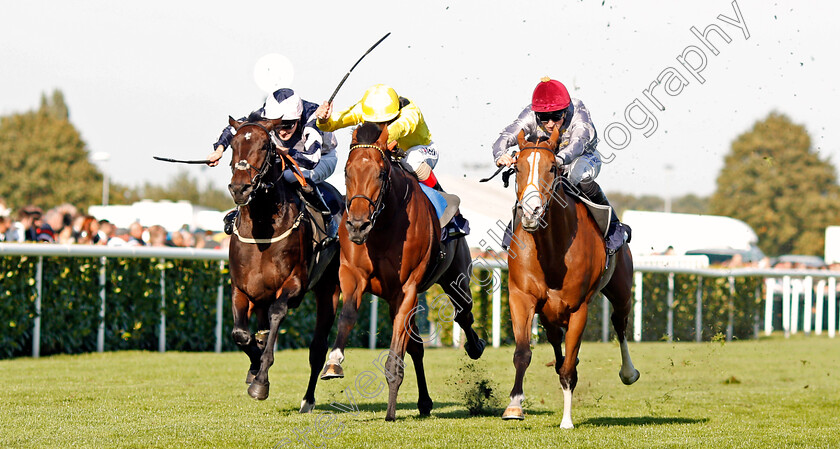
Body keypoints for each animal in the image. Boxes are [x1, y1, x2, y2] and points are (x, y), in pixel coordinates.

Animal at [226, 114, 342, 410]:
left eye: (264, 146)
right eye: (233, 145)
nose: (240, 188)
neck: (262, 229)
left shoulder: (294, 284)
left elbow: (277, 314)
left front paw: (260, 381)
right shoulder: (241, 288)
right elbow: (240, 334)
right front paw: (254, 366)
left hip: (329, 288)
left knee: (318, 348)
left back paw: (308, 400)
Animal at [320, 121, 486, 420]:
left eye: (381, 173)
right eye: (347, 171)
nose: (357, 226)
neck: (383, 227)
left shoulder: (407, 289)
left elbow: (396, 352)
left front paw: (390, 410)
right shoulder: (353, 275)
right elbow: (348, 315)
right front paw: (334, 362)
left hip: (456, 278)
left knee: (464, 313)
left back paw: (475, 346)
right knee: (417, 346)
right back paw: (425, 402)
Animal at [502, 126, 640, 428]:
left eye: (553, 168)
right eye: (517, 168)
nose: (531, 213)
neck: (552, 251)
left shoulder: (579, 308)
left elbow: (567, 369)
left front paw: (566, 420)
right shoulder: (521, 297)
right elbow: (523, 353)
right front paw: (514, 406)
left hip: (621, 291)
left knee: (620, 324)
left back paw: (629, 372)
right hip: (548, 312)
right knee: (556, 341)